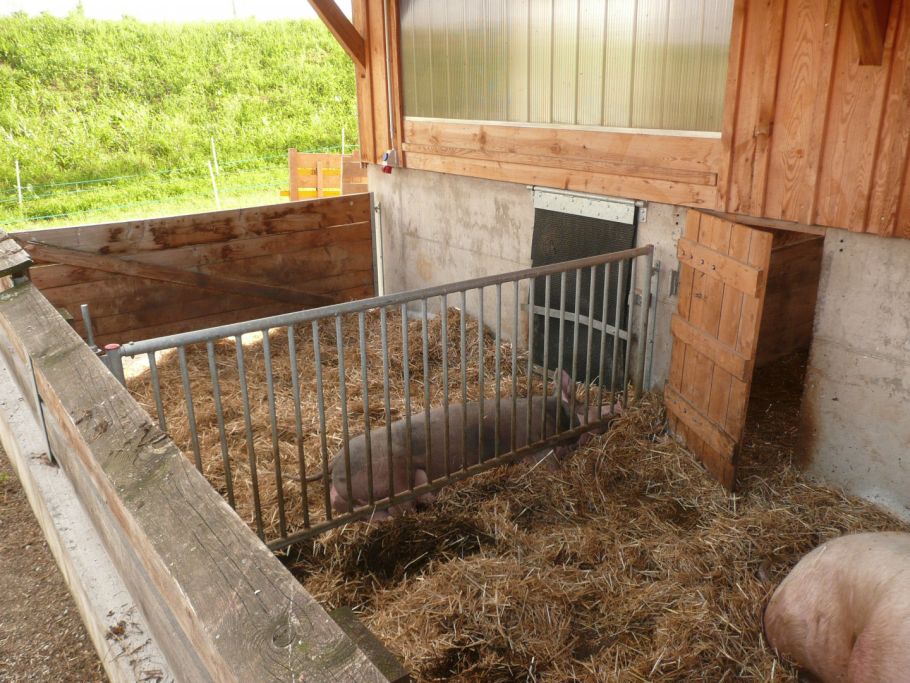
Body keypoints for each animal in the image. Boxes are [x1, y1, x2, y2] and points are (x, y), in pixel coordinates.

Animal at [329, 370, 619, 518]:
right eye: (591, 408)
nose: (615, 408)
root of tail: (334, 465)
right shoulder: (535, 446)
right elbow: (550, 466)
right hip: (393, 476)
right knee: (400, 508)